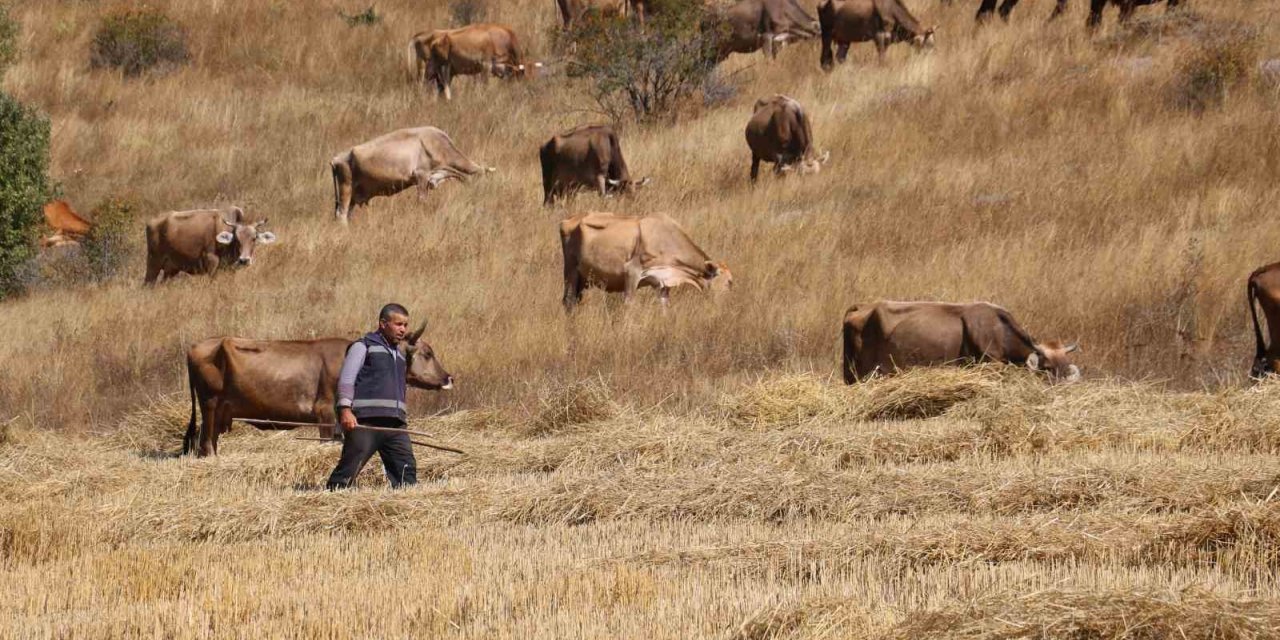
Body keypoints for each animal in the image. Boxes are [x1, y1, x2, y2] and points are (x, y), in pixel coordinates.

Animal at [143, 207, 275, 285]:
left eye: (254, 238)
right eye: (237, 240)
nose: (244, 260)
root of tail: (152, 222)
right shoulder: (212, 264)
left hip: (170, 270)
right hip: (153, 264)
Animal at [183, 327, 453, 458]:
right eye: (428, 353)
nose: (449, 378)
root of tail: (196, 345)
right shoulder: (325, 413)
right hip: (210, 403)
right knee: (205, 443)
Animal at [330, 126, 494, 224]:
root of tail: (336, 158)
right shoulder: (421, 176)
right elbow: (422, 201)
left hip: (353, 196)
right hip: (345, 189)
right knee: (341, 214)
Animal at [558, 212, 732, 309]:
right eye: (729, 282)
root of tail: (569, 220)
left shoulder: (661, 283)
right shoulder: (632, 272)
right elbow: (629, 305)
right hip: (570, 272)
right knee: (568, 301)